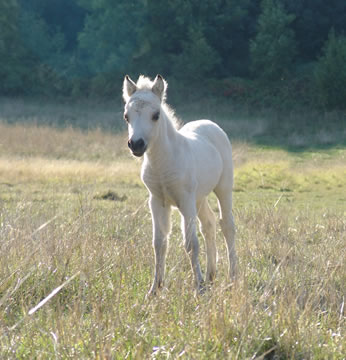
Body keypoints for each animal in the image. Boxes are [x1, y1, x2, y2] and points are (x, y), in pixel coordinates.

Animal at [122, 74, 238, 294]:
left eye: (156, 115)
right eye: (127, 116)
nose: (136, 145)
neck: (163, 162)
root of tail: (210, 123)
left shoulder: (185, 201)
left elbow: (191, 243)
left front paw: (198, 287)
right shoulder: (156, 201)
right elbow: (159, 243)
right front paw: (155, 289)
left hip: (223, 188)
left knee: (227, 225)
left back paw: (232, 277)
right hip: (200, 198)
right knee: (209, 224)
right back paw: (211, 275)